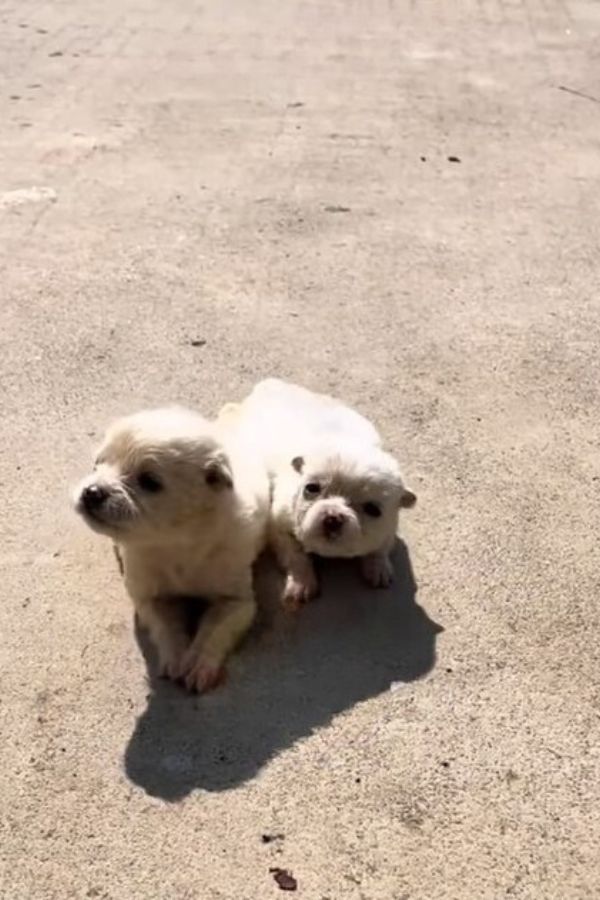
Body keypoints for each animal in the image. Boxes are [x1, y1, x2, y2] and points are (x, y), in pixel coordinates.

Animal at [74, 404, 270, 692]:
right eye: (97, 464)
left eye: (149, 481)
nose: (91, 492)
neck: (176, 542)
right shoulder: (151, 598)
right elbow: (167, 628)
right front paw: (177, 658)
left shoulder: (237, 601)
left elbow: (214, 630)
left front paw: (199, 664)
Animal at [220, 380, 418, 612]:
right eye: (311, 488)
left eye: (373, 510)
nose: (333, 517)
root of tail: (270, 384)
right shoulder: (278, 526)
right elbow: (296, 555)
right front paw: (301, 583)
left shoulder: (389, 529)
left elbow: (380, 548)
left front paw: (378, 567)